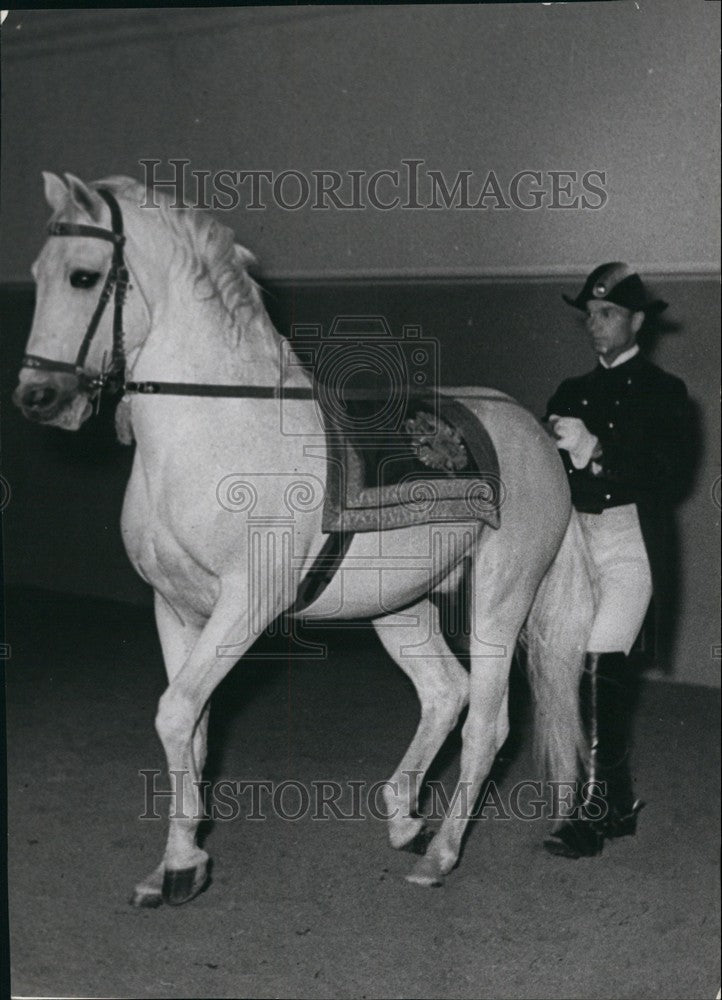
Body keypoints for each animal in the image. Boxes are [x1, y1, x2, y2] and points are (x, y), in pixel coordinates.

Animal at [14, 172, 595, 907]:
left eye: (84, 276)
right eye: (36, 274)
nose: (37, 397)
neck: (211, 431)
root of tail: (538, 435)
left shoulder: (247, 605)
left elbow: (175, 714)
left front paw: (181, 868)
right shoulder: (175, 608)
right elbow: (193, 732)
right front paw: (177, 862)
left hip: (500, 602)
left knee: (487, 725)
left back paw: (438, 855)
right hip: (400, 606)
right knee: (444, 692)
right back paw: (404, 817)